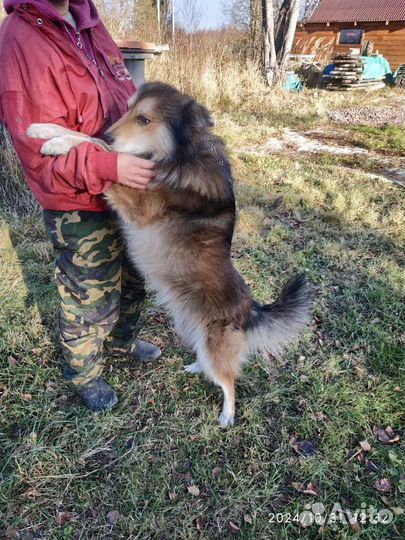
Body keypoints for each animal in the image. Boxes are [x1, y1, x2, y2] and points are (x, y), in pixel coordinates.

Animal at [27, 81, 312, 426]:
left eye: (144, 120)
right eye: (128, 110)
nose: (110, 133)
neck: (180, 157)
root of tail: (250, 309)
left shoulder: (138, 199)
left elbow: (103, 152)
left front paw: (59, 143)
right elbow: (92, 141)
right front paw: (45, 130)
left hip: (214, 343)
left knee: (228, 380)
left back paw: (227, 415)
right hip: (193, 330)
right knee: (212, 365)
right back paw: (195, 367)